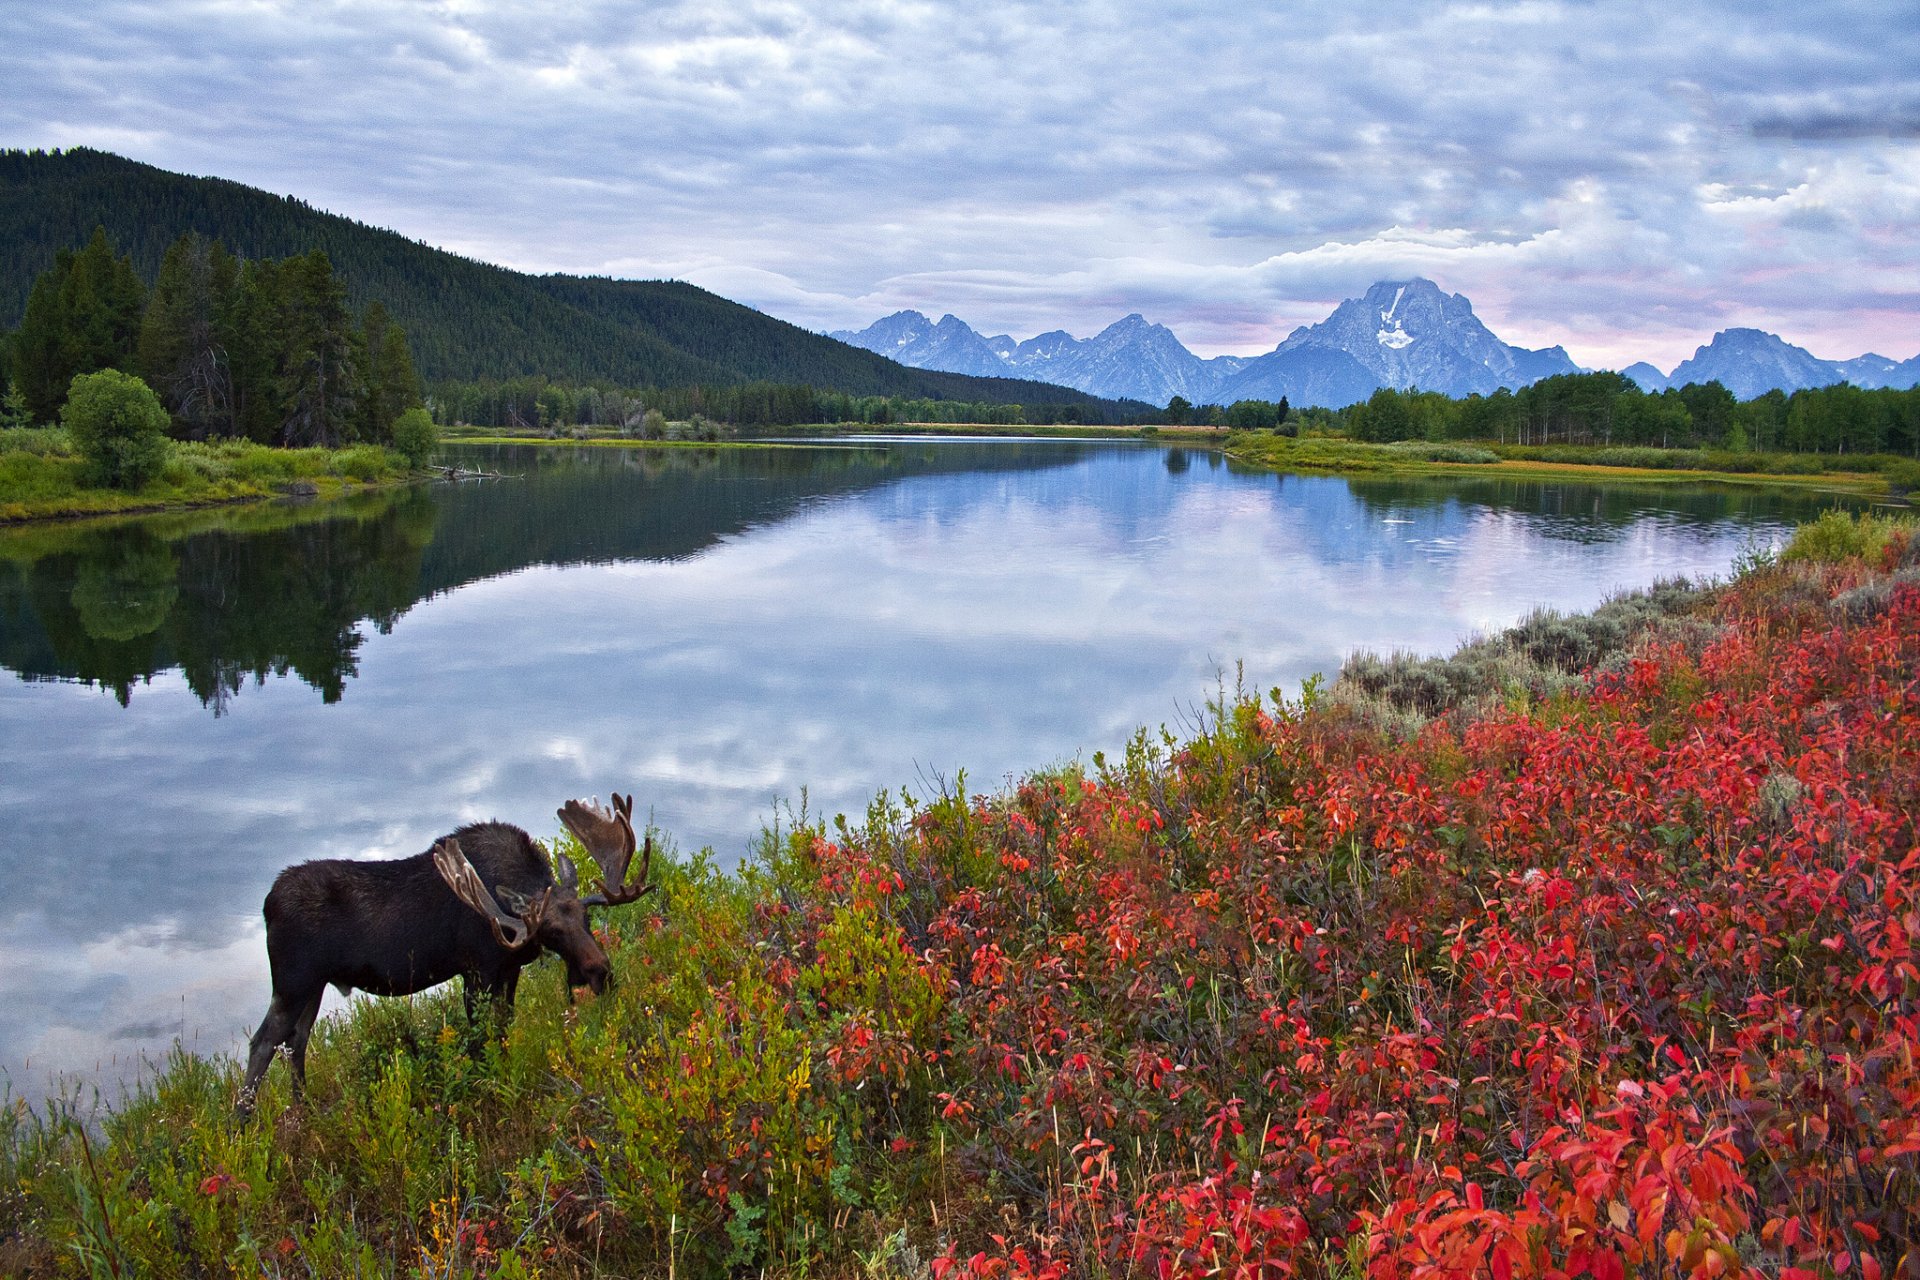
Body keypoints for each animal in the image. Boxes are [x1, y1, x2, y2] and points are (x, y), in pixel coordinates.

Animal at [236, 794, 651, 1116]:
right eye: (551, 930)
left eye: (586, 916)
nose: (601, 971)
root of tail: (266, 904)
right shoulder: (477, 970)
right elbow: (479, 1037)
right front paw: (487, 1085)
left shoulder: (510, 969)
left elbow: (503, 1027)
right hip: (292, 982)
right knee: (263, 1043)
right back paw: (243, 1125)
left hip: (315, 985)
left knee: (297, 1041)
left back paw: (304, 1110)